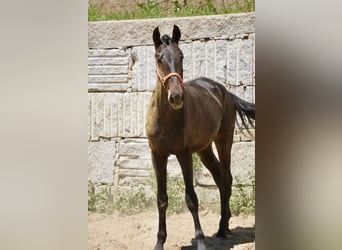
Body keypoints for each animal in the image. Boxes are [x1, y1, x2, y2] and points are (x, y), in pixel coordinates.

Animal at [146, 24, 255, 250]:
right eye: (159, 58)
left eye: (181, 56)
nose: (176, 97)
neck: (166, 118)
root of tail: (224, 91)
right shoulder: (157, 155)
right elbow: (162, 199)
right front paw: (159, 242)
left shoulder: (184, 154)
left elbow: (191, 198)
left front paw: (201, 241)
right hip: (204, 150)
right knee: (220, 178)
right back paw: (226, 224)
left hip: (224, 142)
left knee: (226, 178)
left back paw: (222, 229)